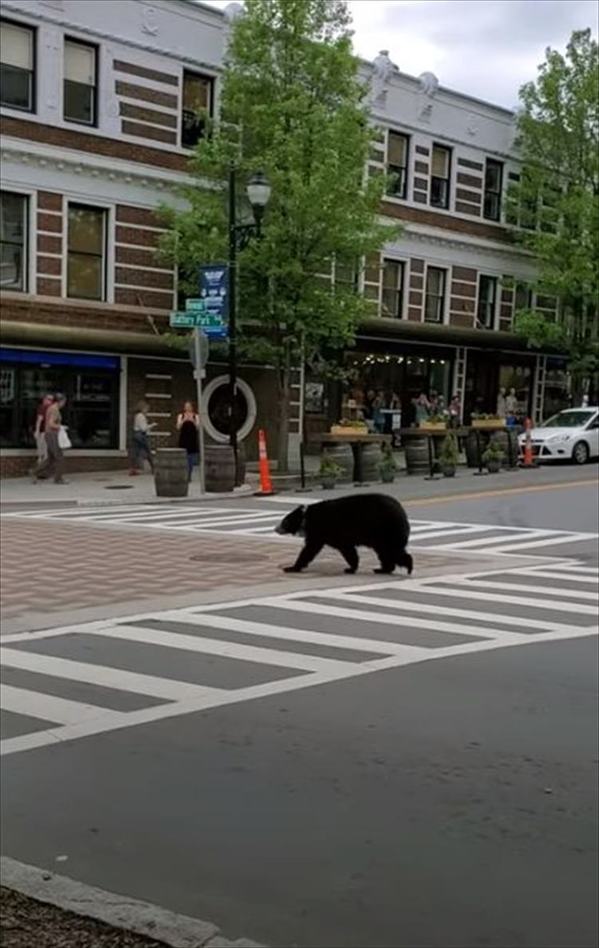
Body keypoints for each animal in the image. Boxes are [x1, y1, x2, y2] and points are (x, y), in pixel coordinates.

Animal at [276, 492, 412, 572]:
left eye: (284, 521)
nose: (275, 528)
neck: (307, 518)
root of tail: (403, 512)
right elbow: (347, 549)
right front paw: (352, 567)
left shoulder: (321, 529)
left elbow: (310, 549)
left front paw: (291, 567)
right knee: (385, 552)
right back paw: (384, 569)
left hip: (386, 530)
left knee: (391, 550)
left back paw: (408, 566)